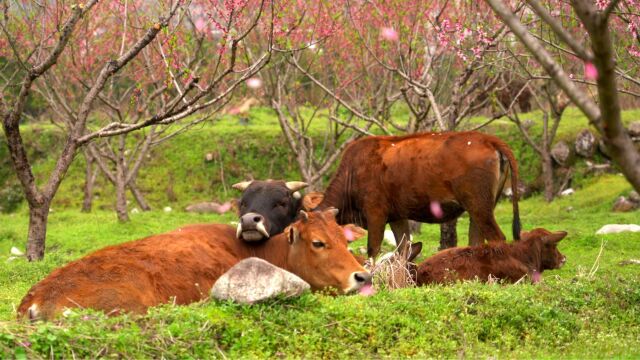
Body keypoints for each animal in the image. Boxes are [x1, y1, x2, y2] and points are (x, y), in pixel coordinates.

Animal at [308, 131, 524, 258]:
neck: (352, 172)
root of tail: (488, 138)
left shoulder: (376, 214)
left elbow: (373, 249)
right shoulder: (397, 217)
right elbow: (403, 249)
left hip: (479, 206)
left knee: (497, 238)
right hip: (480, 209)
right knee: (476, 242)